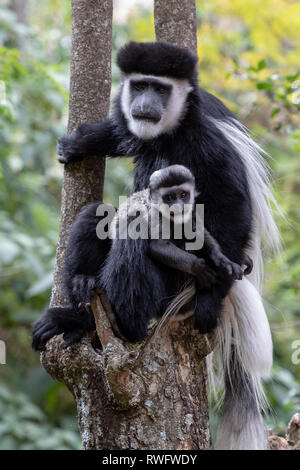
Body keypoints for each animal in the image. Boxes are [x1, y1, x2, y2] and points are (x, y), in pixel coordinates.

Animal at [31, 42, 280, 450]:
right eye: (140, 85)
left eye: (161, 89)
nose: (145, 103)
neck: (172, 129)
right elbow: (122, 135)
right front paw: (82, 142)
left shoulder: (206, 143)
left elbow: (231, 205)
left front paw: (211, 296)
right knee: (99, 216)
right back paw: (80, 296)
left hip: (176, 287)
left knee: (139, 246)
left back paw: (106, 323)